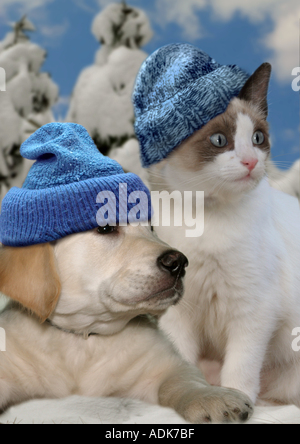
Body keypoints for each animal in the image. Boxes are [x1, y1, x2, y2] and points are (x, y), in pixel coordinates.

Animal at [149, 63, 300, 406]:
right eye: (219, 140)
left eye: (257, 138)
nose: (251, 161)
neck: (209, 219)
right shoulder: (180, 312)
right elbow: (183, 360)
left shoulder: (253, 310)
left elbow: (240, 369)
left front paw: (238, 402)